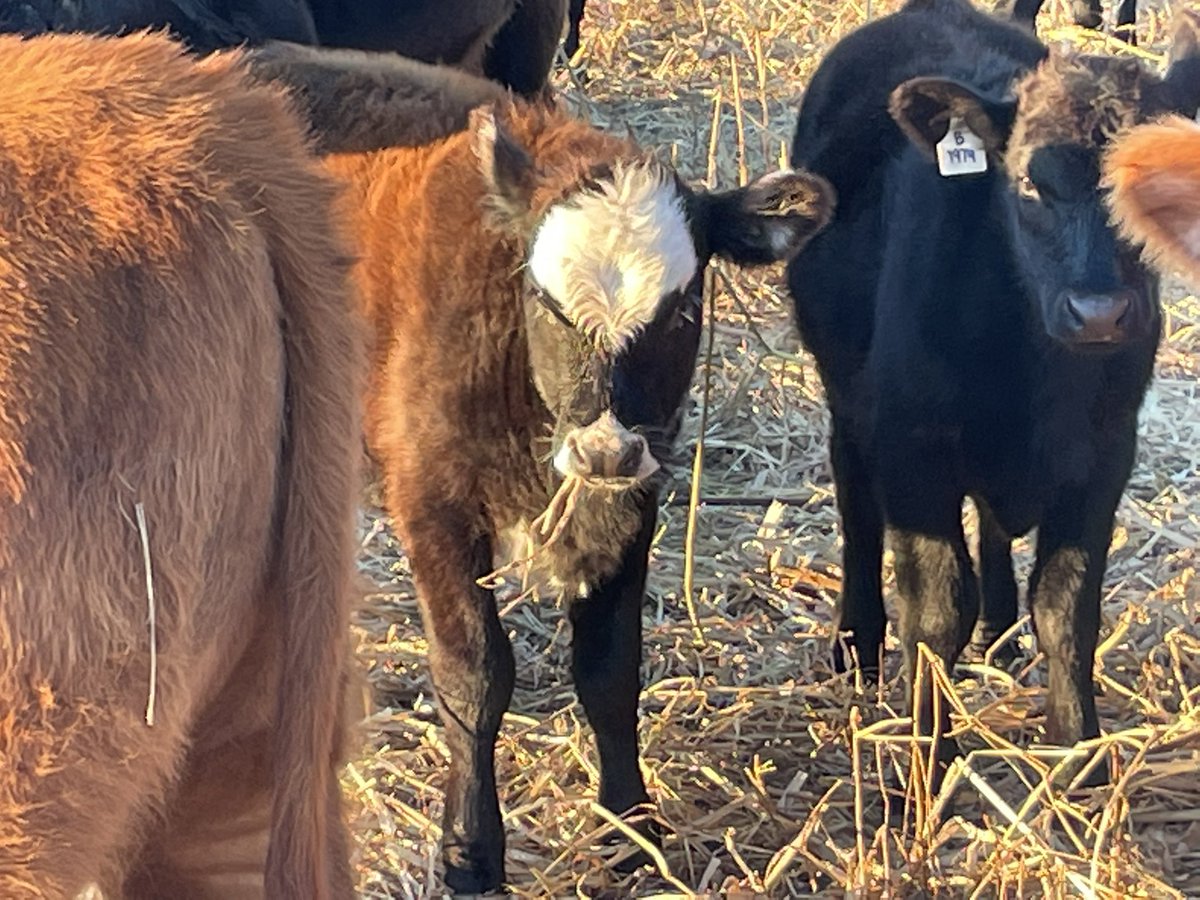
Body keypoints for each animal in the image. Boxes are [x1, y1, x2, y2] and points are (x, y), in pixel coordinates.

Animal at [249, 42, 836, 893]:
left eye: (682, 308)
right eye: (545, 299)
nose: (604, 448)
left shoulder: (630, 502)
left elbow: (610, 671)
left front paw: (631, 830)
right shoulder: (433, 498)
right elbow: (474, 673)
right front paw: (469, 848)